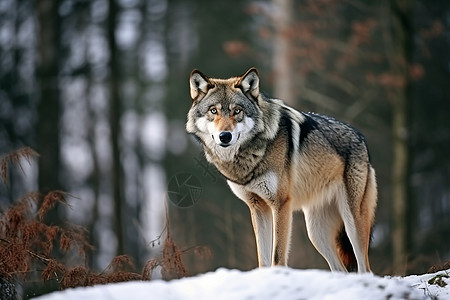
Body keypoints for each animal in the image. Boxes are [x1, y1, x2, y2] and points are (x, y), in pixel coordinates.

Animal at [185, 67, 378, 272]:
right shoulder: (258, 207)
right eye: (214, 111)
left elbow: (277, 256)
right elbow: (262, 258)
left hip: (352, 222)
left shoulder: (281, 204)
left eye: (237, 111)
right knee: (340, 269)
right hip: (316, 233)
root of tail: (361, 137)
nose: (225, 136)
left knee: (365, 268)